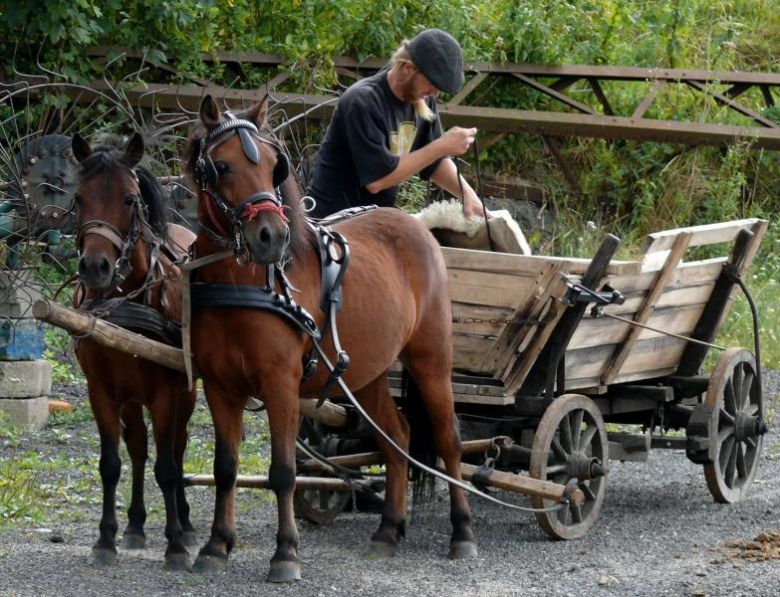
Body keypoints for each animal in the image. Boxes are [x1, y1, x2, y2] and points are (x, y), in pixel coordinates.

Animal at [71, 133, 198, 572]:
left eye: (129, 199)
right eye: (79, 198)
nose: (95, 267)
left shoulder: (166, 392)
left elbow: (168, 467)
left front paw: (175, 545)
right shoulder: (101, 389)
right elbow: (112, 463)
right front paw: (105, 540)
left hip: (187, 390)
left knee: (176, 447)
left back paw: (186, 525)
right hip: (129, 395)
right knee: (139, 447)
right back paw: (135, 525)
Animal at [185, 94, 476, 584]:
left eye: (273, 166)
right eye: (221, 167)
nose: (271, 236)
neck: (247, 284)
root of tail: (419, 228)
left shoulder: (281, 384)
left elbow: (283, 471)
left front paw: (286, 554)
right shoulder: (219, 386)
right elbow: (225, 468)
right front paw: (215, 546)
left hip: (432, 357)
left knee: (448, 438)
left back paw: (463, 533)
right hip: (366, 373)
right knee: (396, 435)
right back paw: (388, 530)